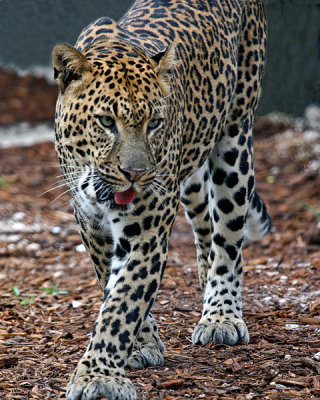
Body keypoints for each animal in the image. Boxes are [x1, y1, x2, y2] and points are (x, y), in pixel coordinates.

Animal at [52, 1, 270, 398]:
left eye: (154, 123)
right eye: (106, 122)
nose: (135, 174)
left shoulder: (145, 232)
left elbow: (123, 303)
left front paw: (98, 377)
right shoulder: (91, 226)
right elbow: (113, 288)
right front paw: (141, 343)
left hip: (235, 140)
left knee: (229, 237)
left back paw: (221, 314)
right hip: (190, 178)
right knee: (205, 224)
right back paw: (204, 279)